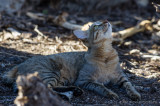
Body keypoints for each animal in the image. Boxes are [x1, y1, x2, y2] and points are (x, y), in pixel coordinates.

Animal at [2, 19, 141, 100]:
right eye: (96, 26)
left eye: (101, 21)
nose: (106, 20)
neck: (106, 54)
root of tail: (18, 66)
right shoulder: (84, 80)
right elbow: (100, 86)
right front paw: (110, 93)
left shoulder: (121, 76)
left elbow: (129, 85)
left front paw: (135, 94)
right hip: (51, 72)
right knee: (47, 89)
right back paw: (68, 94)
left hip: (60, 79)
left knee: (52, 87)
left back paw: (74, 91)